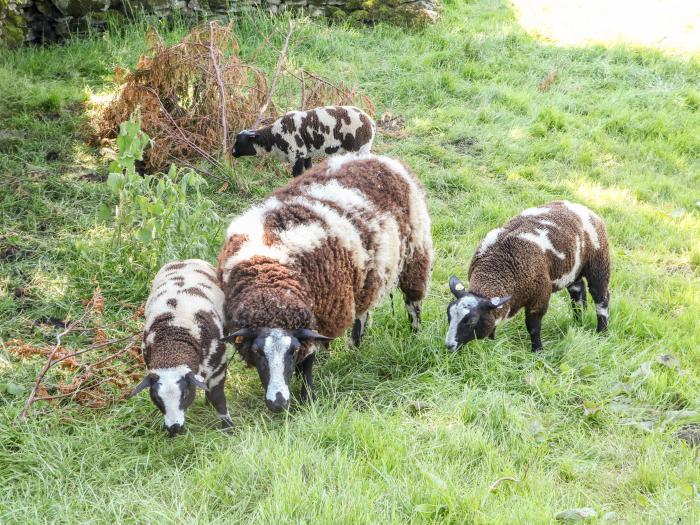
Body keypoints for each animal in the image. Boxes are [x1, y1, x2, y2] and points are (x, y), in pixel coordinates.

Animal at [134, 258, 235, 434]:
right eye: (156, 397)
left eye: (185, 394)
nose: (175, 429)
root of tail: (185, 260)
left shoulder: (218, 368)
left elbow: (218, 398)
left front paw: (228, 429)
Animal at [217, 154, 432, 412]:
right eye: (257, 351)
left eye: (293, 350)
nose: (278, 403)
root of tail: (381, 158)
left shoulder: (319, 317)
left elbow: (307, 362)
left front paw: (308, 397)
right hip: (365, 276)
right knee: (362, 313)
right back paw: (355, 347)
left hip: (415, 252)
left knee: (413, 302)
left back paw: (415, 334)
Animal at [231, 105, 374, 177]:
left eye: (240, 142)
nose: (232, 153)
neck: (273, 137)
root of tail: (371, 122)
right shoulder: (306, 155)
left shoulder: (297, 155)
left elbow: (297, 175)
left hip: (358, 150)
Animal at [446, 201, 608, 352]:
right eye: (449, 314)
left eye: (471, 321)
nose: (449, 345)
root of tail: (582, 208)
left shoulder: (540, 296)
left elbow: (533, 327)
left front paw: (537, 351)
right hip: (572, 270)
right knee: (578, 293)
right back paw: (578, 322)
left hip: (599, 262)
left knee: (601, 298)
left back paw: (602, 333)